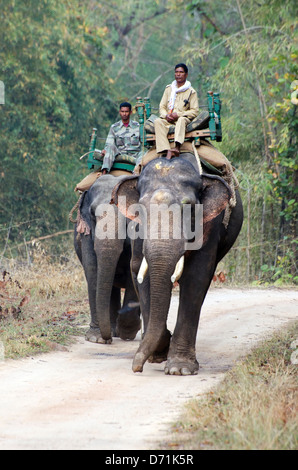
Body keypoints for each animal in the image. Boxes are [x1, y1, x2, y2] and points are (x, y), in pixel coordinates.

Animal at [74, 174, 140, 344]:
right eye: (92, 212)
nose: (107, 339)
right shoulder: (86, 234)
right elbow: (92, 269)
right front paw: (96, 338)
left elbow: (133, 270)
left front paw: (127, 333)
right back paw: (113, 331)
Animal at [110, 154, 243, 374]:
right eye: (140, 209)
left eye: (188, 207)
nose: (136, 368)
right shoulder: (137, 230)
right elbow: (139, 269)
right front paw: (158, 353)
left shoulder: (209, 225)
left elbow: (196, 276)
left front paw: (180, 369)